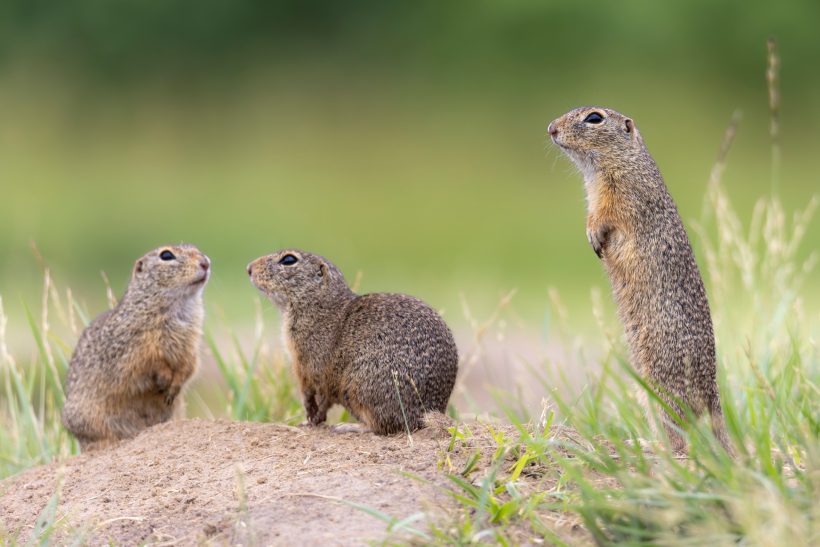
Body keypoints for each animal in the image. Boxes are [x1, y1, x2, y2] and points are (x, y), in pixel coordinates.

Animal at [64, 244, 211, 450]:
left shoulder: (191, 342)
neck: (178, 308)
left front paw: (173, 387)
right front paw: (164, 378)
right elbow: (149, 362)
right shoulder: (138, 345)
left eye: (195, 247)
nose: (206, 262)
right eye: (167, 255)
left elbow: (189, 365)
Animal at [247, 249, 458, 436]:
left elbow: (312, 396)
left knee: (383, 427)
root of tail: (427, 413)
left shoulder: (310, 367)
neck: (319, 305)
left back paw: (350, 427)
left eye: (289, 260)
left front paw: (309, 421)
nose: (249, 267)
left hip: (359, 388)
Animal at [552, 106, 732, 454]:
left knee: (682, 436)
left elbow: (606, 214)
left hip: (661, 385)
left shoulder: (623, 195)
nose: (551, 128)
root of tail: (713, 396)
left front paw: (593, 234)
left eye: (594, 118)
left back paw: (653, 446)